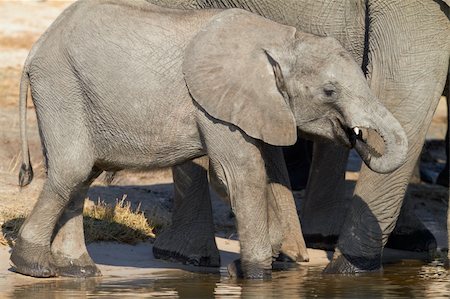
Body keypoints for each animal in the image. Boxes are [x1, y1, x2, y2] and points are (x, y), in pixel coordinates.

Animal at [13, 0, 408, 282]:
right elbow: (240, 173)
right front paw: (257, 274)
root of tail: (36, 47)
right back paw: (34, 267)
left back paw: (79, 271)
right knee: (73, 170)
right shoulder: (217, 107)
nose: (359, 138)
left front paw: (251, 267)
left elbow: (257, 171)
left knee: (84, 176)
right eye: (329, 91)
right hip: (62, 86)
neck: (283, 39)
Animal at [149, 0, 450, 274]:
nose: (359, 137)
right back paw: (186, 256)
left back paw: (288, 253)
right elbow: (405, 90)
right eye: (328, 92)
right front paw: (347, 271)